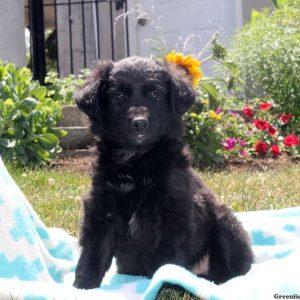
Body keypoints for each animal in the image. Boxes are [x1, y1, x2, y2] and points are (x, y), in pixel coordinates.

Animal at [73, 55, 253, 288]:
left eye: (155, 95)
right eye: (118, 97)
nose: (140, 123)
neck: (137, 161)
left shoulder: (174, 211)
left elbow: (167, 258)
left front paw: (161, 283)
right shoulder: (101, 209)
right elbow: (93, 250)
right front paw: (83, 286)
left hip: (225, 223)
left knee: (233, 270)